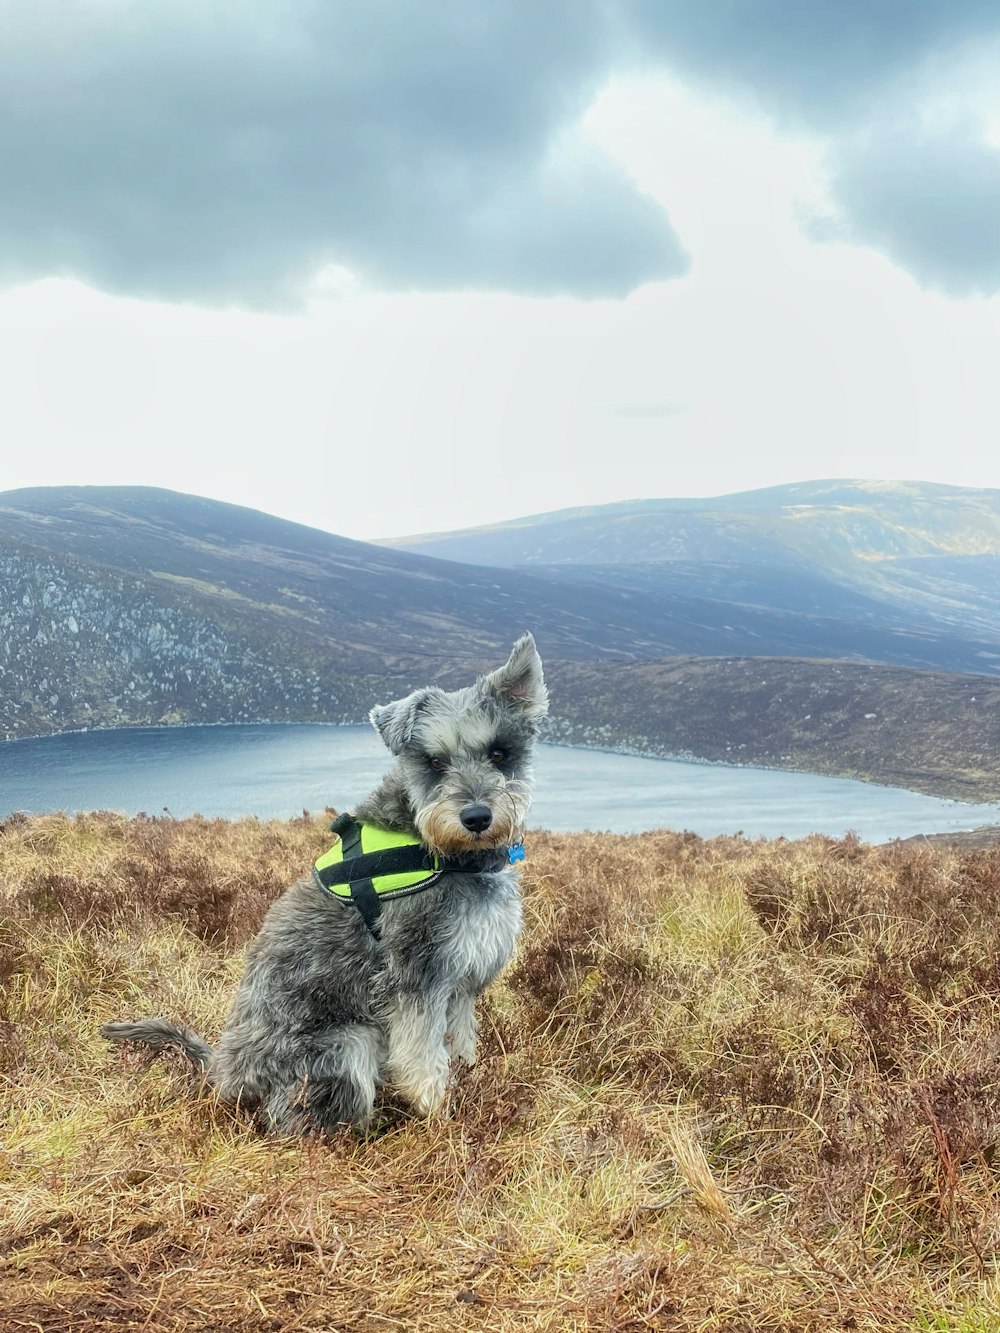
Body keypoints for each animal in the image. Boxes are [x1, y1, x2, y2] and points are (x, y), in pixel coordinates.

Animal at [102, 634, 549, 1135]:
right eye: (434, 761)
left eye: (499, 753)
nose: (476, 817)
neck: (444, 854)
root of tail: (223, 1073)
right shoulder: (417, 980)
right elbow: (423, 1062)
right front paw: (439, 1119)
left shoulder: (461, 981)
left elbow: (462, 1044)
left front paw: (472, 1086)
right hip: (346, 1043)